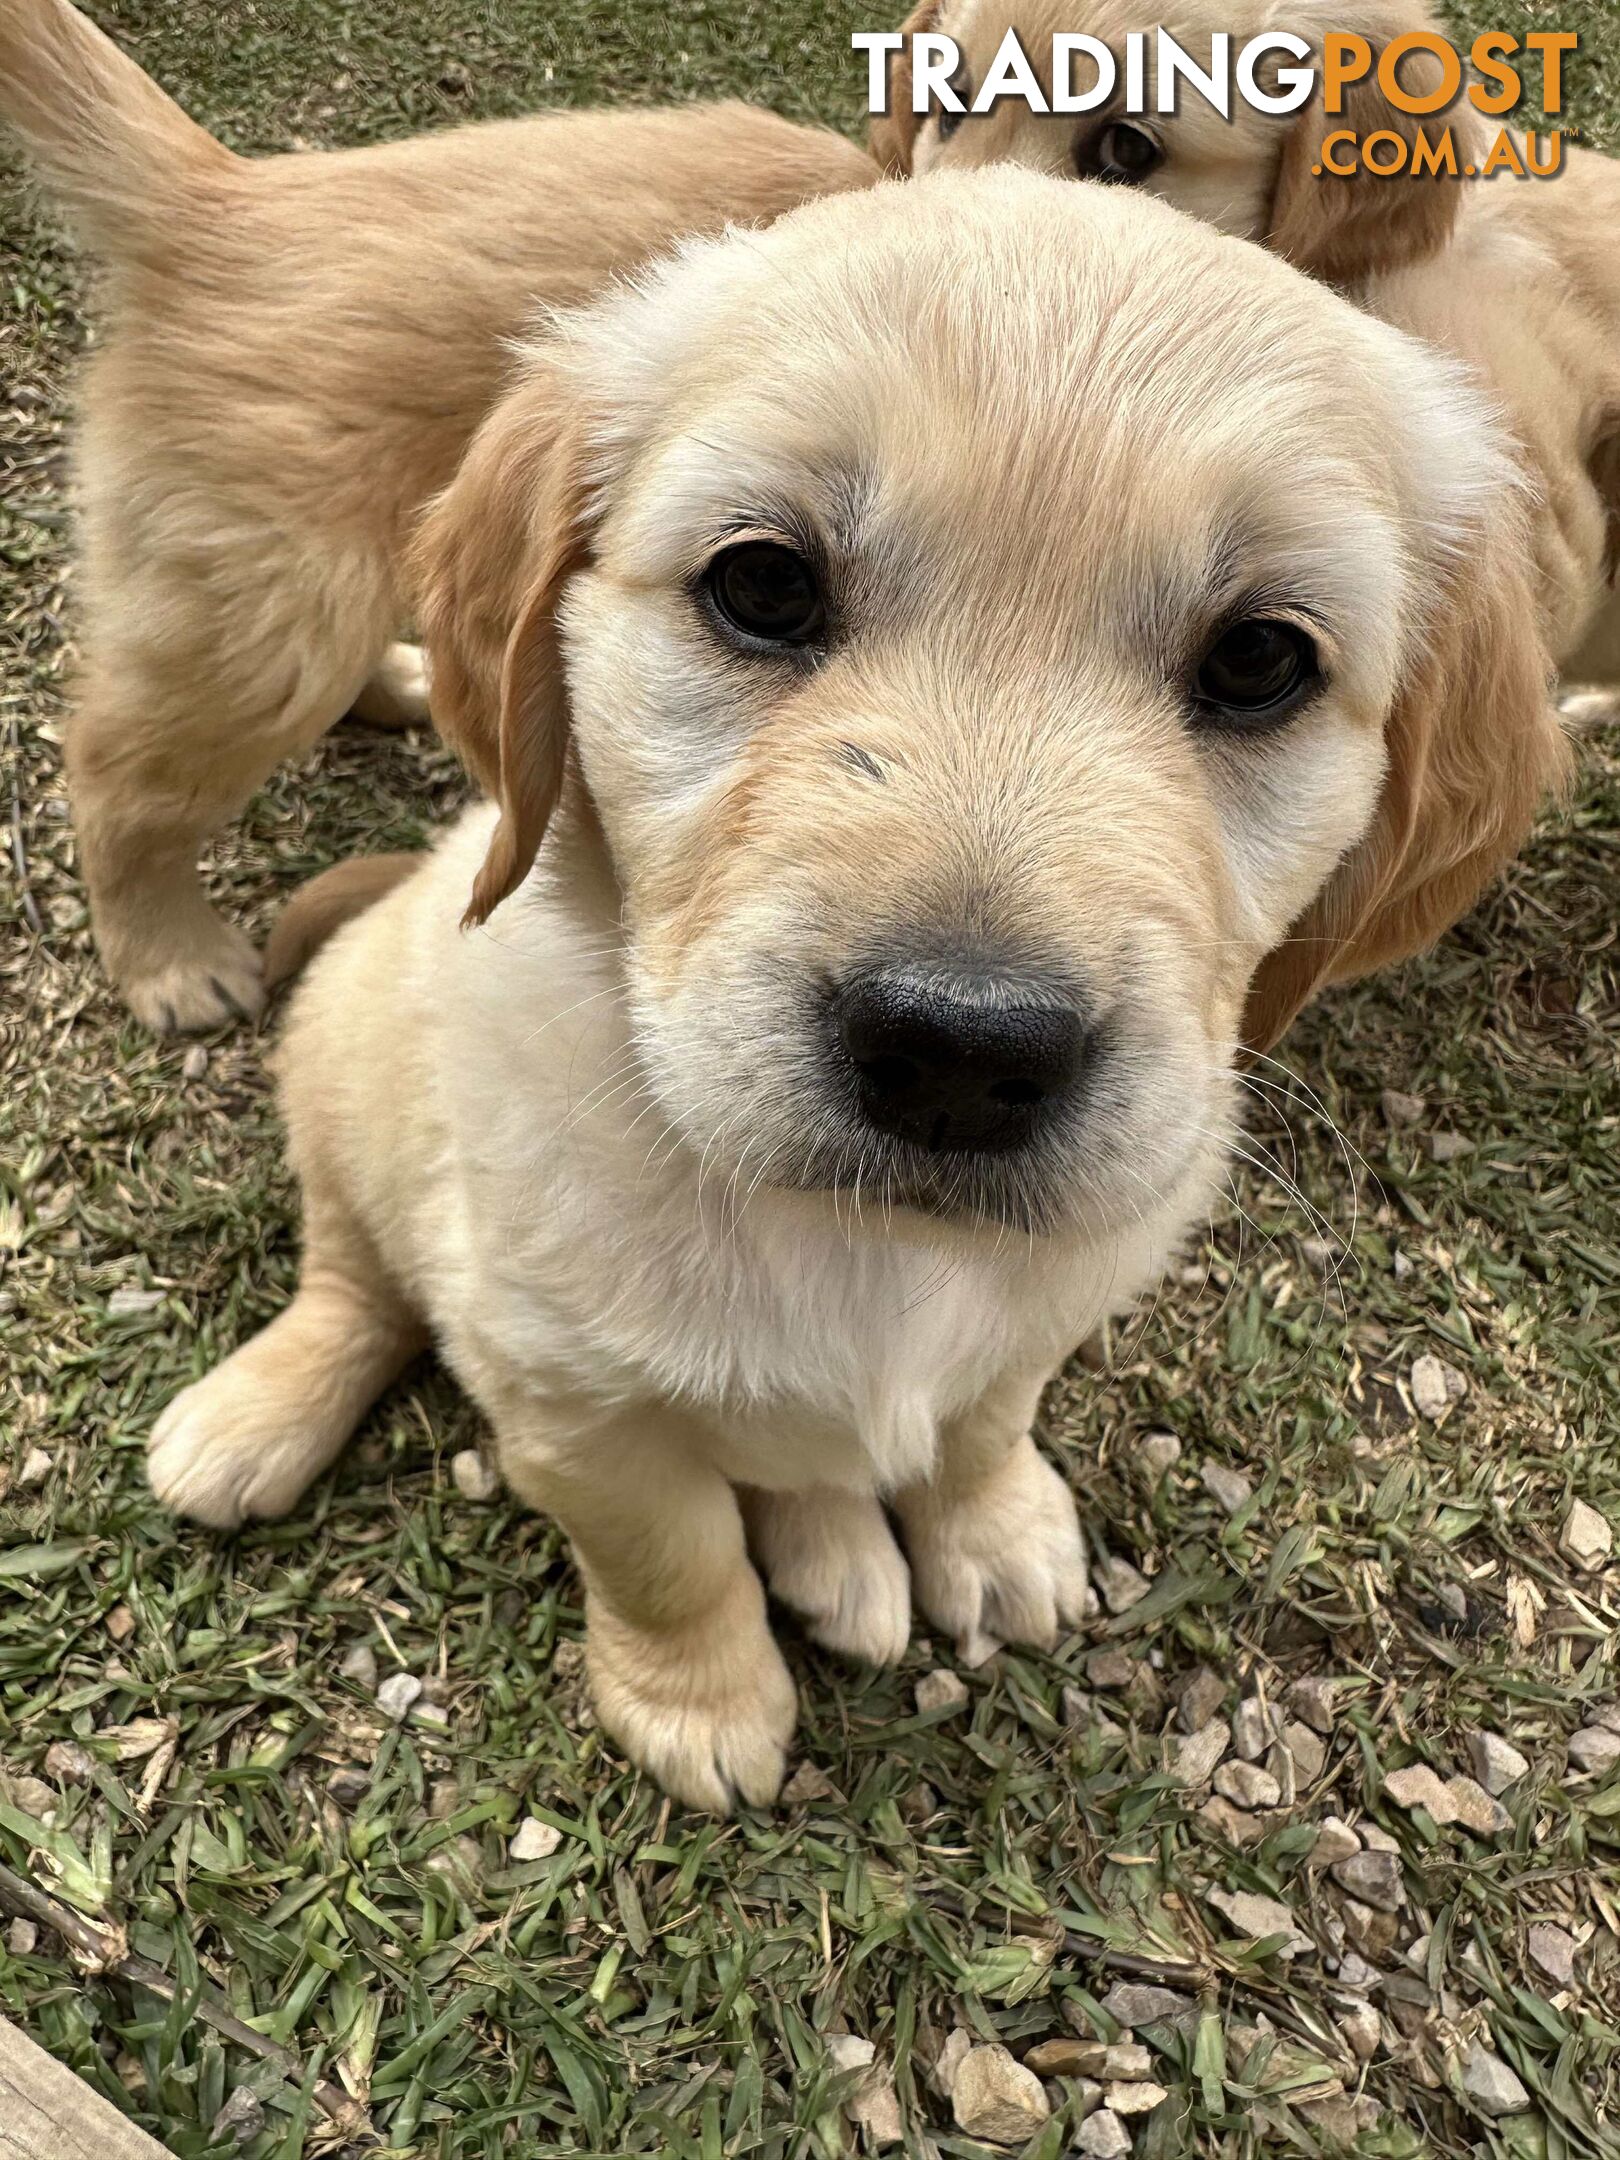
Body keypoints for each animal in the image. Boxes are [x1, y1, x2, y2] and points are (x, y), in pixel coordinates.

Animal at [145, 172, 1563, 1805]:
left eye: (1262, 659)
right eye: (761, 583)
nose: (959, 1051)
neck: (867, 1248)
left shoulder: (1043, 1309)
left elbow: (981, 1425)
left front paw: (994, 1534)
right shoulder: (569, 1403)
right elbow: (671, 1555)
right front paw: (699, 1704)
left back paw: (838, 1559)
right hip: (342, 1078)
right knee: (352, 1281)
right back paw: (252, 1419)